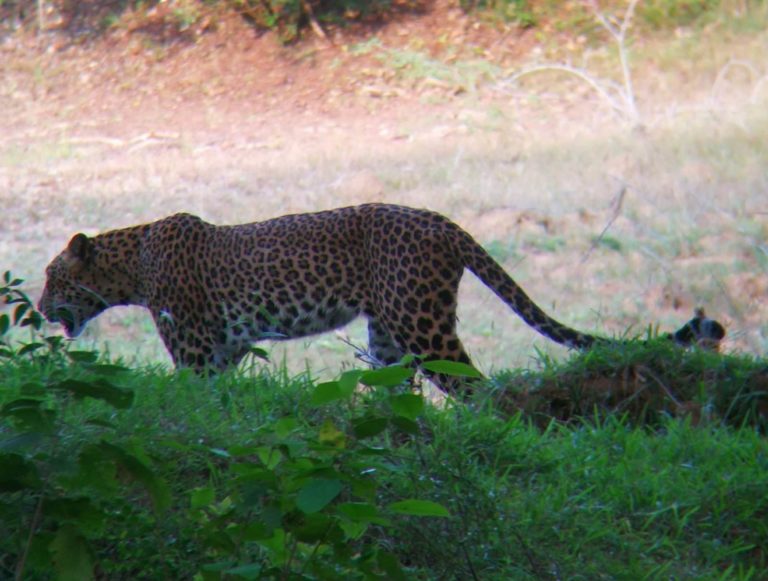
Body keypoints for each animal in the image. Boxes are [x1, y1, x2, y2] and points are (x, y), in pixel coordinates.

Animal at [39, 202, 724, 396]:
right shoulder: (227, 350)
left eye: (50, 278)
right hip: (389, 335)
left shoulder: (196, 352)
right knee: (401, 391)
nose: (42, 309)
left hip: (422, 324)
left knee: (478, 389)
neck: (132, 263)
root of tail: (442, 220)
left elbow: (191, 393)